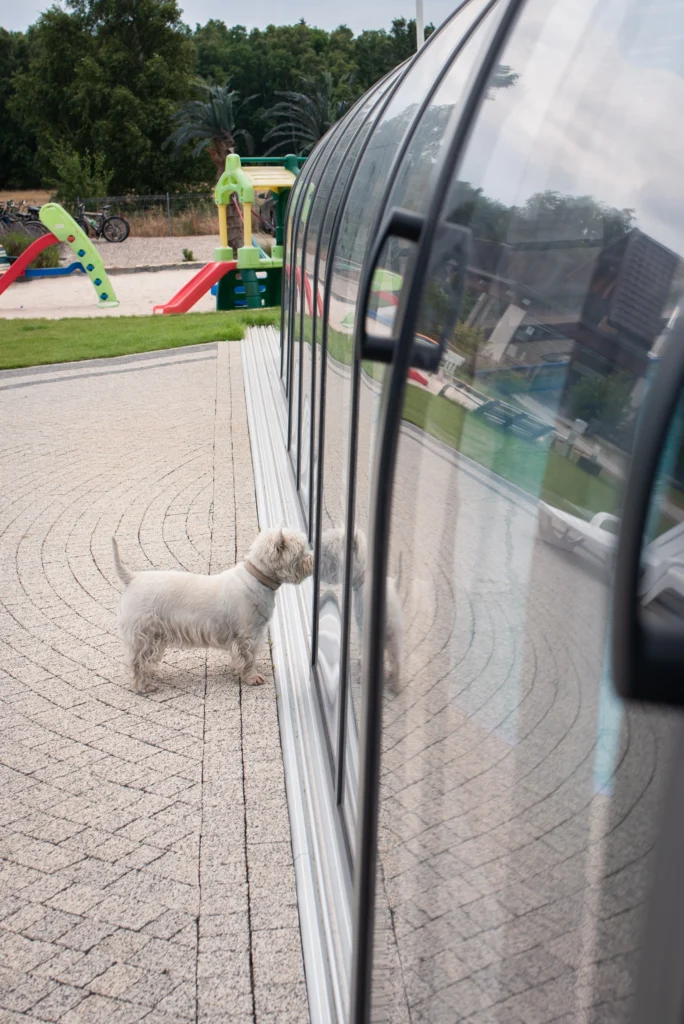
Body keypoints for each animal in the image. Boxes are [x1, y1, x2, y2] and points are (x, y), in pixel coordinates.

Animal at [112, 532, 313, 692]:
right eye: (301, 552)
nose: (313, 559)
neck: (258, 577)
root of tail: (132, 578)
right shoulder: (248, 633)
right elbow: (248, 658)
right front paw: (252, 678)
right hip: (143, 633)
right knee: (137, 661)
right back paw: (144, 686)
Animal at [319, 528, 403, 688]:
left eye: (329, 552)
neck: (364, 577)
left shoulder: (360, 626)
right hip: (395, 636)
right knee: (396, 660)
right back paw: (395, 685)